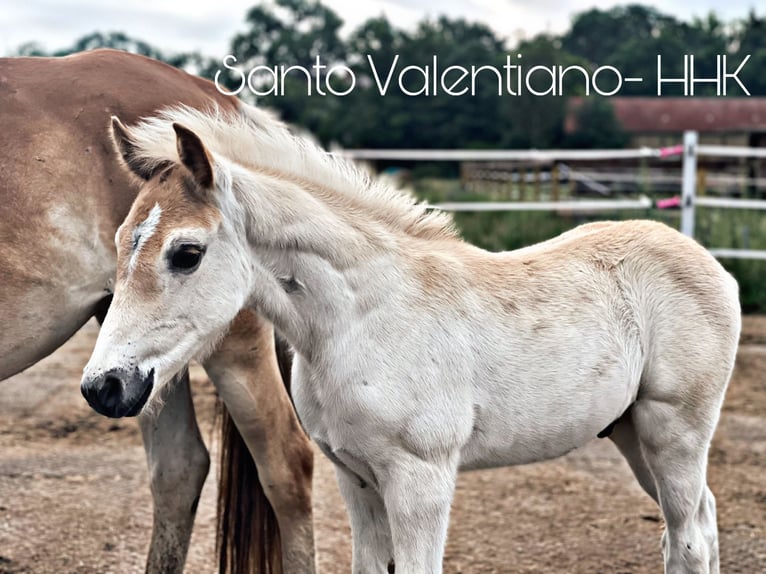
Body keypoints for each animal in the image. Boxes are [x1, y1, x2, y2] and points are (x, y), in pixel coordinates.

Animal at [82, 106, 744, 572]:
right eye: (117, 243)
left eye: (186, 253)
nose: (104, 386)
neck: (362, 320)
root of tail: (710, 263)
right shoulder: (354, 477)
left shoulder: (420, 479)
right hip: (631, 432)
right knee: (702, 521)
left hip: (674, 432)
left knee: (686, 540)